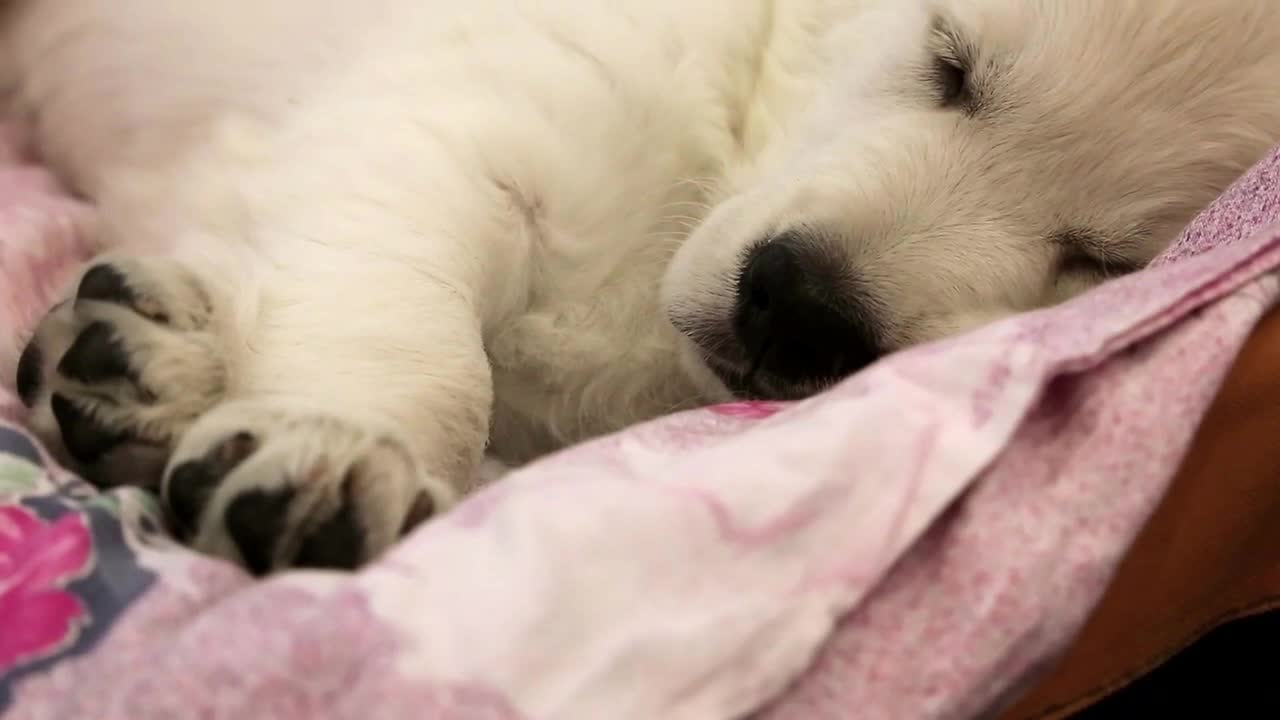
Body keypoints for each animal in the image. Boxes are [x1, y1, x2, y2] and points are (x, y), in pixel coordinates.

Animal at [2, 0, 1280, 571]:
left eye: (1105, 256)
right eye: (948, 61)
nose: (797, 305)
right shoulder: (497, 89)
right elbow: (408, 290)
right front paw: (334, 451)